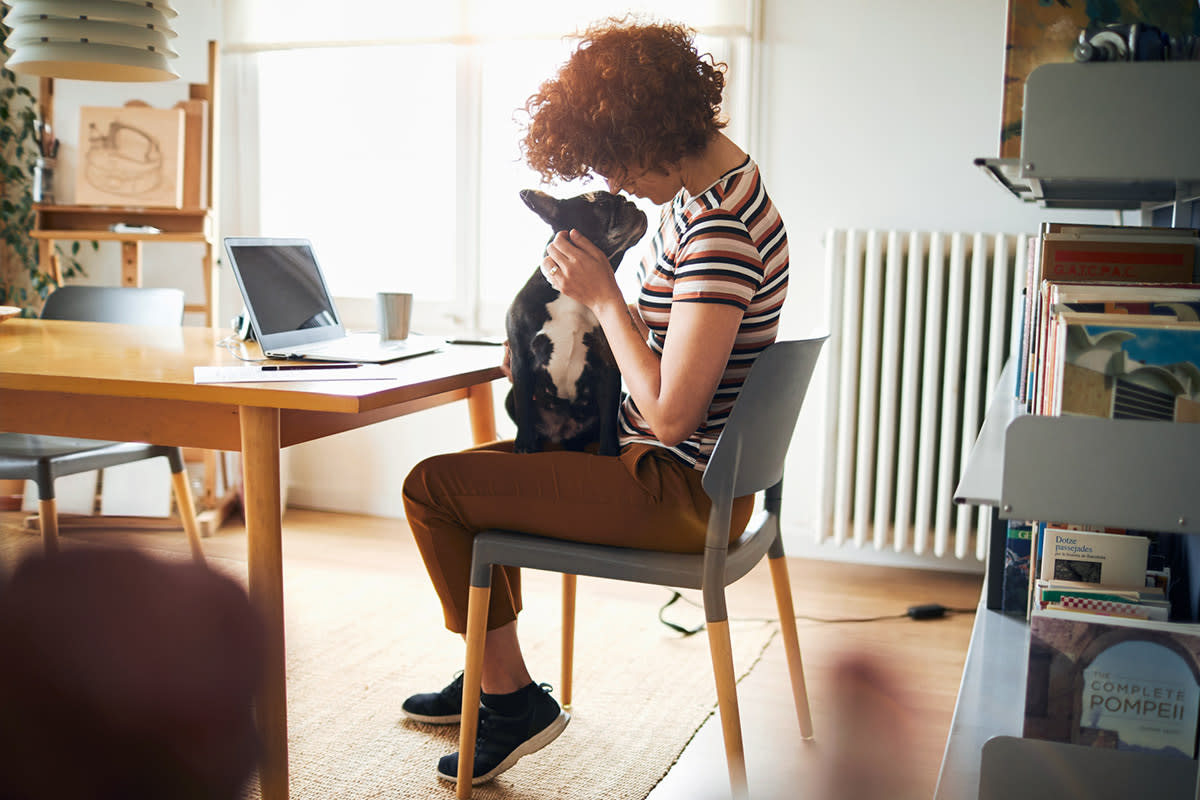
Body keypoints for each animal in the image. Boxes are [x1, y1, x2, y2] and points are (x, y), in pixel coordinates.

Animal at [504, 188, 648, 453]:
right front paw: (525, 446)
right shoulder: (520, 360)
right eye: (601, 203)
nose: (629, 202)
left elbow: (609, 417)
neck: (573, 295)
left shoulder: (609, 366)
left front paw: (608, 452)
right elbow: (525, 409)